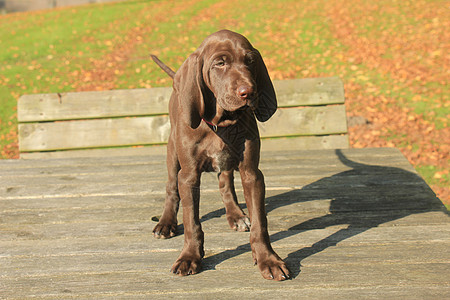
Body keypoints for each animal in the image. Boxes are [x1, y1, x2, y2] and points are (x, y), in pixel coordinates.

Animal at [153, 29, 290, 280]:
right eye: (220, 63)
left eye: (250, 61)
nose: (249, 92)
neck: (221, 123)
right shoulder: (188, 176)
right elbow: (191, 221)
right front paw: (189, 256)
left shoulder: (252, 174)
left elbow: (260, 223)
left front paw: (267, 258)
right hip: (173, 152)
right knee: (170, 187)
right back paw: (166, 222)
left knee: (225, 183)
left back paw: (236, 215)